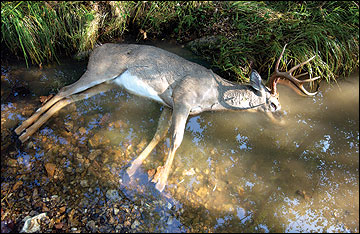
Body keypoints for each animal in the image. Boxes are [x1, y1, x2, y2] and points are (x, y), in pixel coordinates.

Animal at [14, 42, 320, 192]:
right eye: (274, 104)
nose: (282, 119)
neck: (214, 94)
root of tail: (94, 49)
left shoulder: (168, 105)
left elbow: (158, 133)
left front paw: (133, 168)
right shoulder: (183, 100)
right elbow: (176, 139)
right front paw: (160, 182)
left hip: (110, 83)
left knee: (69, 98)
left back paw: (24, 131)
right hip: (100, 71)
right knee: (64, 89)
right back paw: (23, 130)